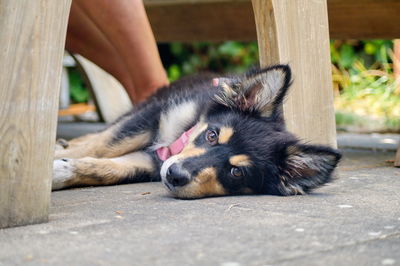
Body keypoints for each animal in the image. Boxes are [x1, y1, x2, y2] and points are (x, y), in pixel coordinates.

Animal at [53, 64, 340, 197]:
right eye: (211, 135)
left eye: (237, 172)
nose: (174, 175)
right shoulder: (153, 116)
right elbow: (104, 144)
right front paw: (52, 162)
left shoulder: (152, 162)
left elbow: (110, 169)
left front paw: (63, 171)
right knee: (99, 135)